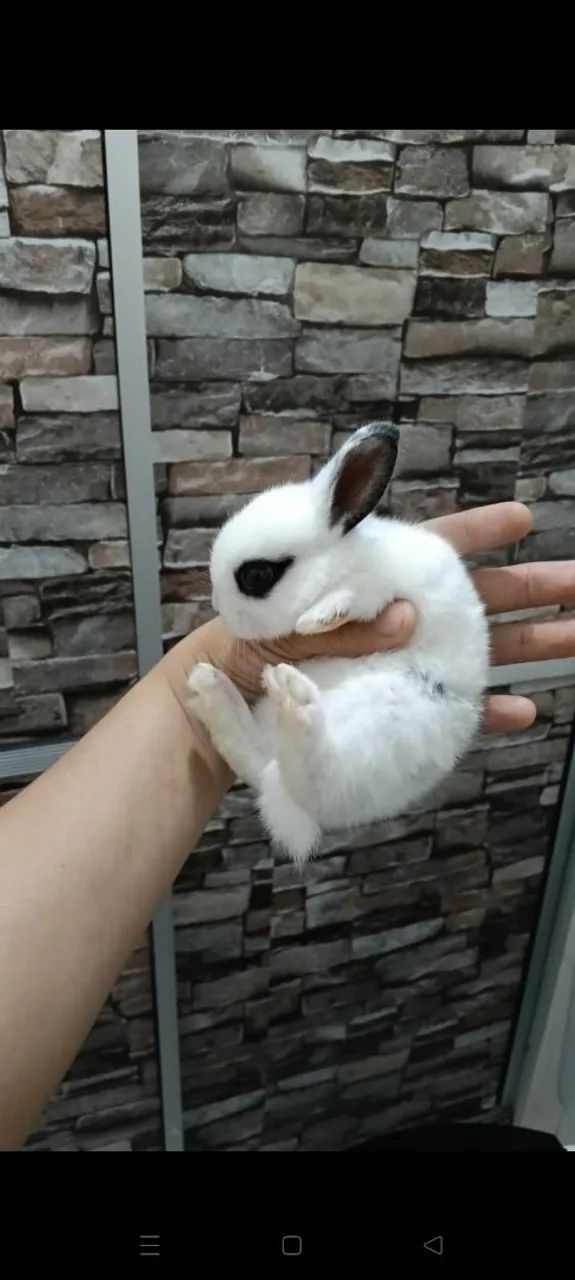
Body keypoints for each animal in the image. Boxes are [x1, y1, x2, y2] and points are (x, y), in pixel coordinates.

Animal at [187, 422, 489, 864]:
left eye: (257, 575)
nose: (216, 606)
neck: (339, 563)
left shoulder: (383, 588)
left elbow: (359, 594)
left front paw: (319, 618)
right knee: (262, 761)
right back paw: (213, 689)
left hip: (385, 722)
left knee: (312, 774)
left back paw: (292, 699)